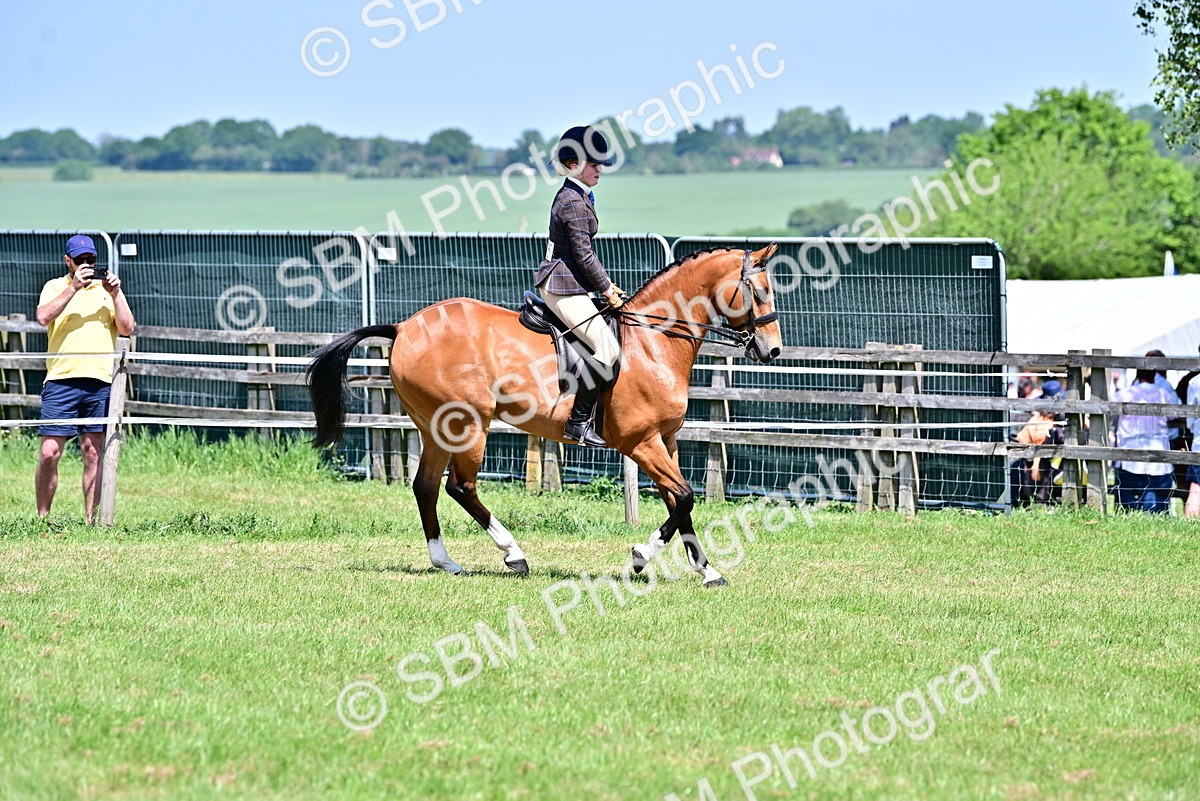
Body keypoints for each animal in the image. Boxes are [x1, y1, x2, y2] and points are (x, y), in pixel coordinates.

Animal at [306, 244, 783, 587]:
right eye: (759, 292)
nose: (773, 351)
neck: (653, 341)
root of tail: (404, 327)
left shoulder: (665, 441)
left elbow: (680, 502)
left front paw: (708, 571)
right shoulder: (641, 442)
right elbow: (683, 498)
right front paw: (639, 558)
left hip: (436, 428)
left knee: (425, 487)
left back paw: (447, 561)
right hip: (468, 425)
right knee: (460, 487)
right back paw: (514, 554)